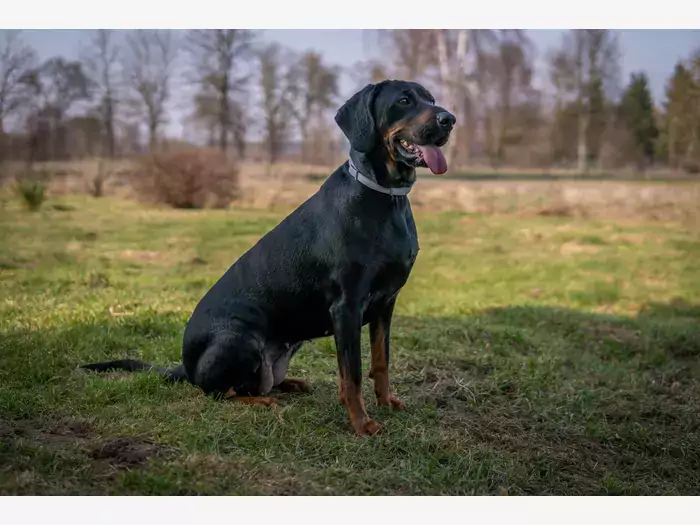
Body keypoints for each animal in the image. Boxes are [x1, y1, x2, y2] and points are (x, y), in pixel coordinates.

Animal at [83, 80, 454, 436]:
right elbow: (354, 373)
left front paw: (387, 402)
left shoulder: (385, 304)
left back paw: (292, 383)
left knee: (260, 382)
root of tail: (185, 367)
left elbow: (380, 362)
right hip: (239, 340)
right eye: (404, 100)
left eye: (431, 98)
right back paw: (261, 402)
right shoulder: (347, 306)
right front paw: (362, 424)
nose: (449, 119)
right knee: (220, 392)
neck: (385, 197)